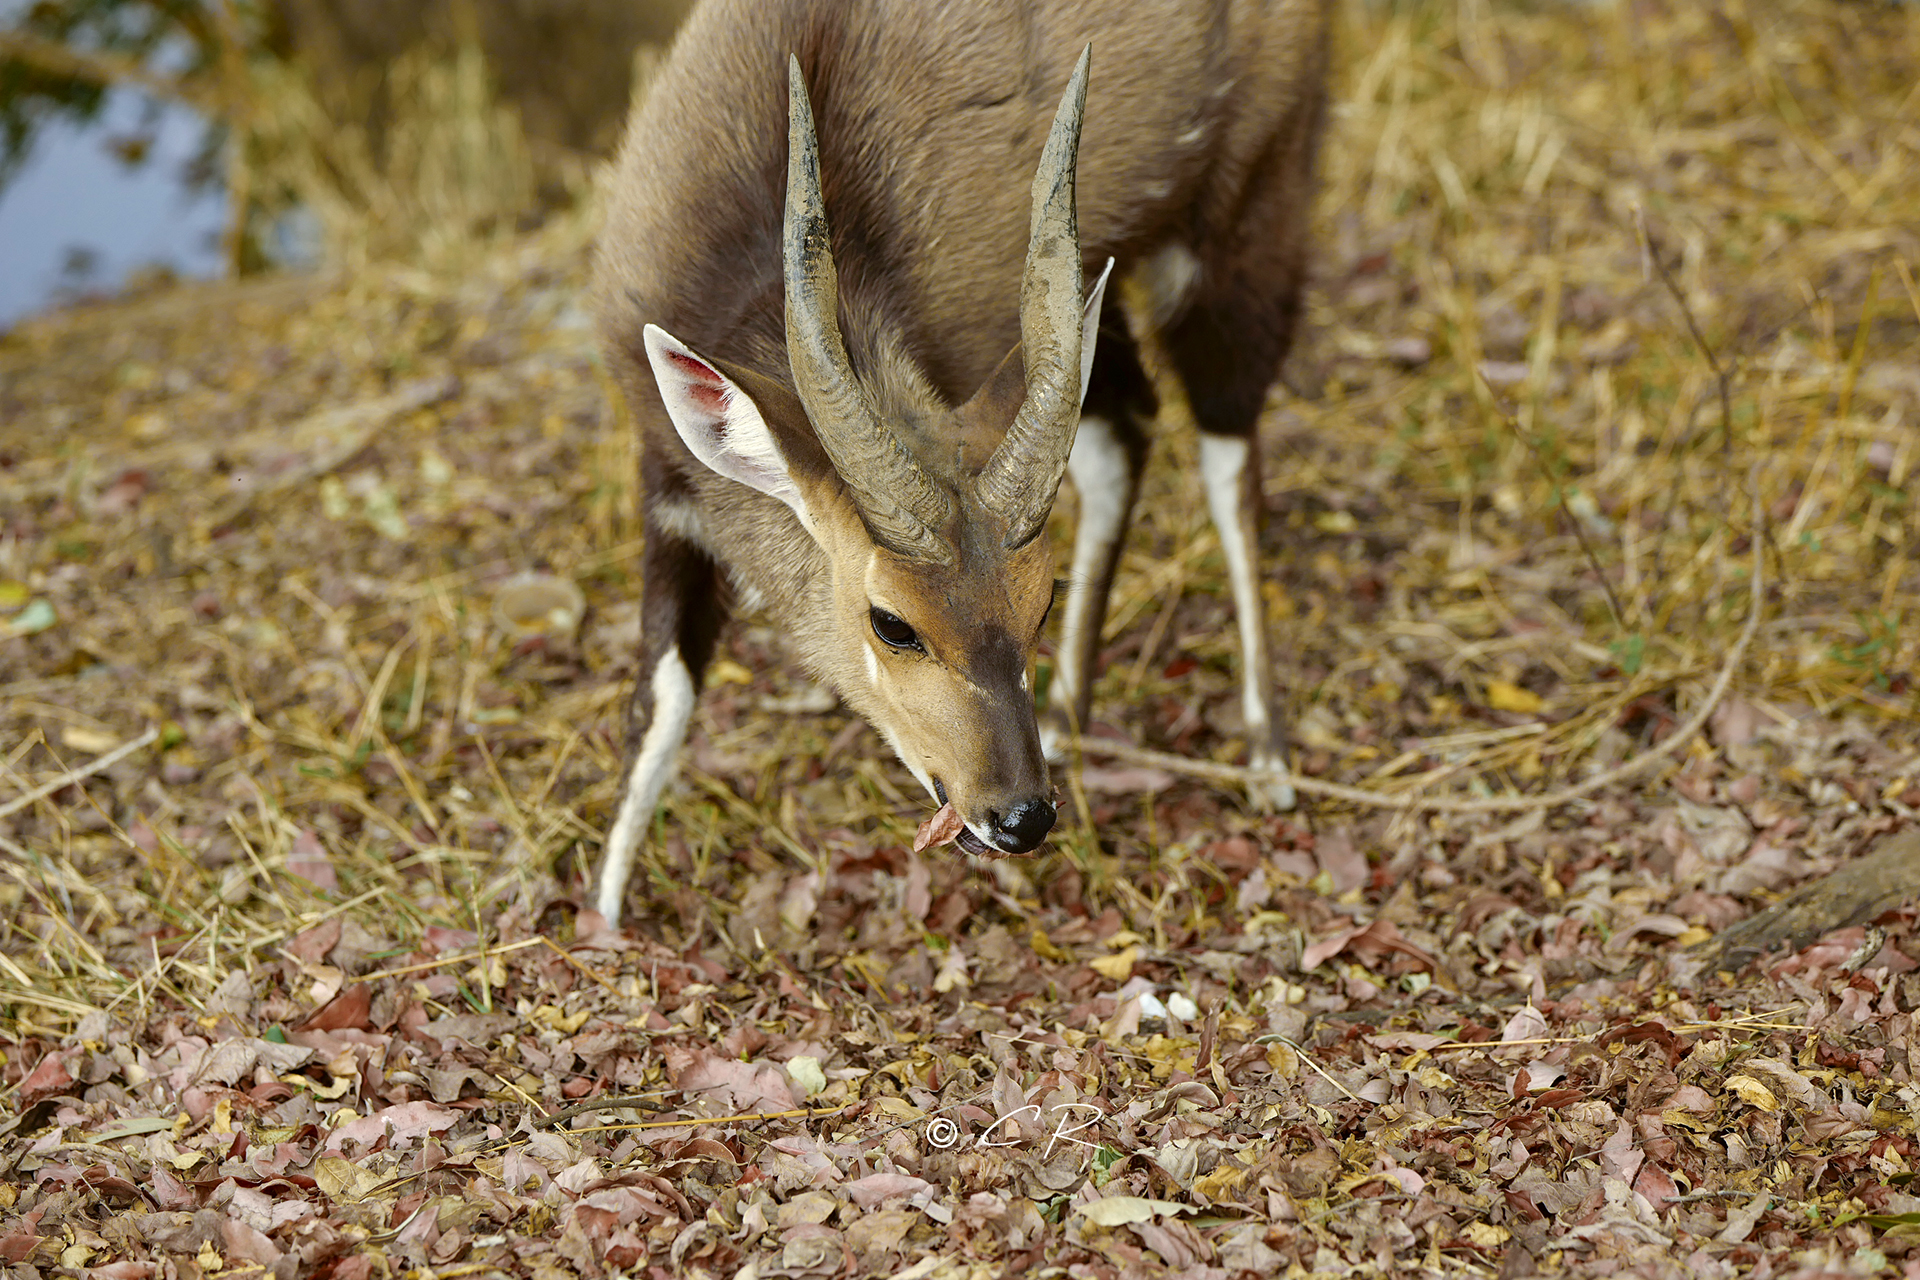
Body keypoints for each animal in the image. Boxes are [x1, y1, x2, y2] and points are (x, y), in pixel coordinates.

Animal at [591, 0, 1328, 921]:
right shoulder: (665, 472)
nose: (1020, 816)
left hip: (1247, 206)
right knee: (1128, 434)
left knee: (1228, 451)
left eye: (1041, 602)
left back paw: (1267, 756)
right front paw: (604, 910)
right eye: (892, 622)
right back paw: (1073, 717)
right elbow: (661, 695)